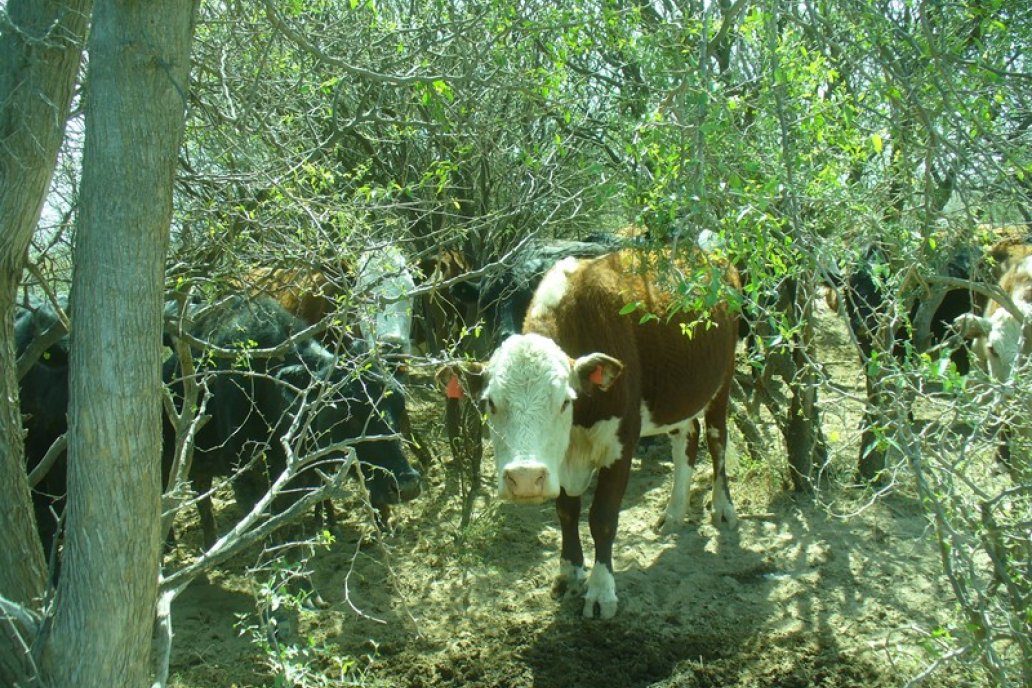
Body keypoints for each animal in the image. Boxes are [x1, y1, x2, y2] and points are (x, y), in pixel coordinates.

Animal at [443, 247, 743, 618]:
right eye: (489, 403)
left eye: (563, 401)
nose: (525, 479)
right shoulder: (559, 461)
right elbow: (566, 512)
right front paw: (569, 574)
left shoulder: (620, 445)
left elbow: (602, 519)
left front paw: (601, 591)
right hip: (677, 395)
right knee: (687, 435)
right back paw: (673, 513)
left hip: (723, 377)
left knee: (717, 439)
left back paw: (723, 508)